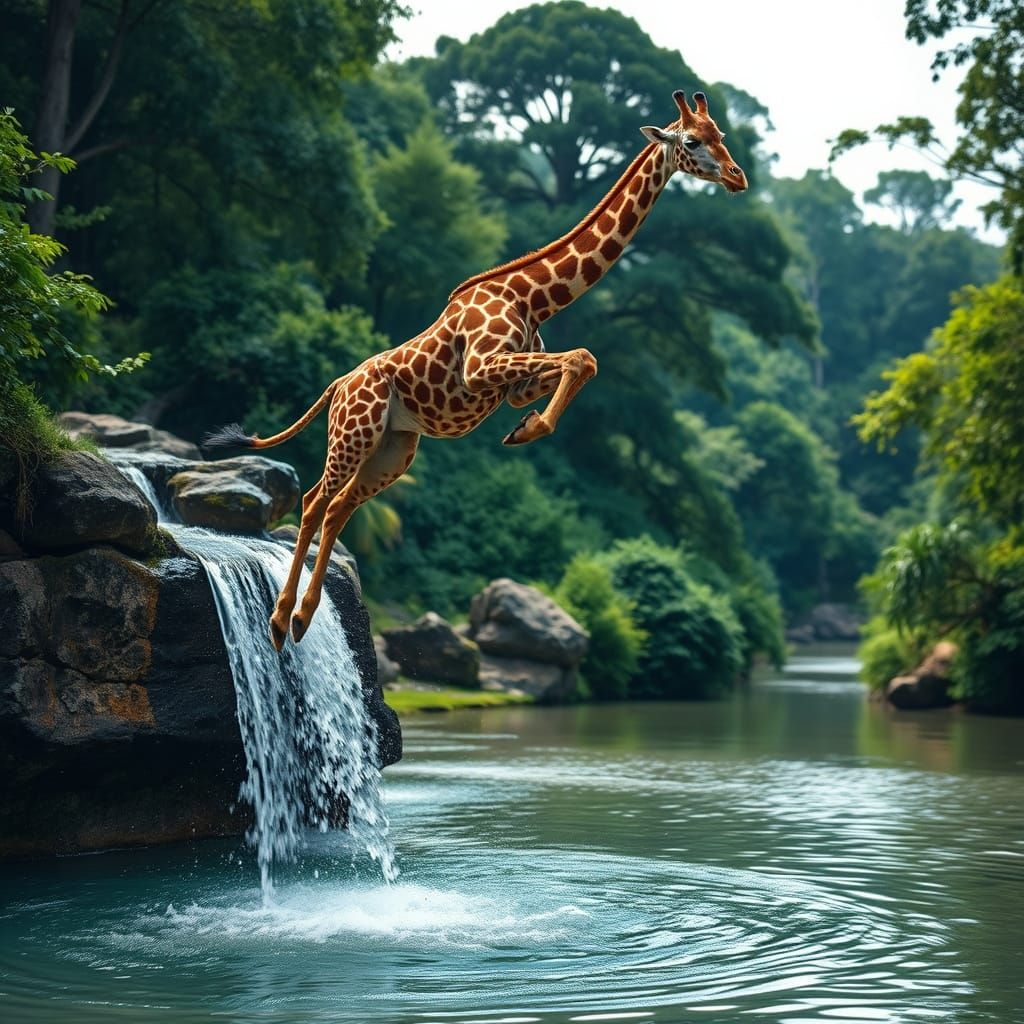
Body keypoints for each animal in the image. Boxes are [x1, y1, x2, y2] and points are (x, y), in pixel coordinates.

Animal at [205, 89, 747, 650]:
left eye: (722, 135)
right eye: (692, 141)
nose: (738, 177)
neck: (532, 298)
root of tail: (337, 384)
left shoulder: (512, 383)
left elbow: (580, 365)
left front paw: (523, 429)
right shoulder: (480, 368)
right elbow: (584, 357)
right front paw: (528, 430)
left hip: (395, 447)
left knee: (338, 507)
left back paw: (303, 616)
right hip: (355, 431)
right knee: (314, 500)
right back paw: (278, 620)